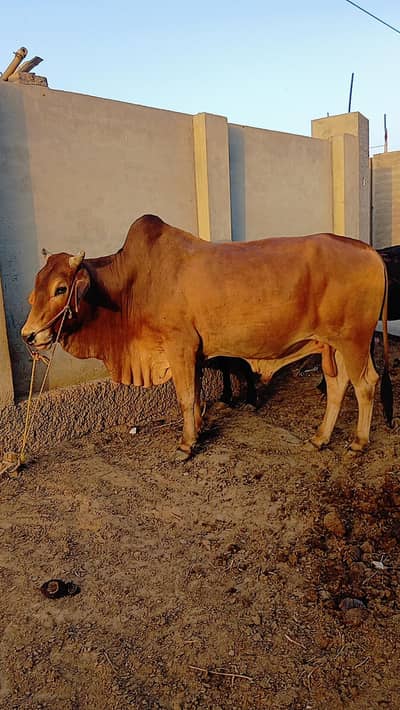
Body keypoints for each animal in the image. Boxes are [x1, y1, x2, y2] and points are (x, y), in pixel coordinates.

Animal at [21, 214, 392, 460]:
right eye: (35, 288)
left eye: (61, 288)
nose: (28, 335)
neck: (132, 286)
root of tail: (369, 250)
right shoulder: (195, 353)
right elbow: (197, 396)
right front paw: (198, 428)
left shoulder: (179, 347)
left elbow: (186, 397)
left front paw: (187, 444)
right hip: (333, 345)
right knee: (338, 385)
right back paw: (321, 437)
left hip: (355, 341)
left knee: (366, 384)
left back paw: (358, 442)